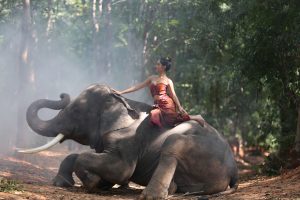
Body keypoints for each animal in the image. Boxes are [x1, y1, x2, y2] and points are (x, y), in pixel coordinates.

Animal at [19, 83, 239, 199]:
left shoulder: (129, 141)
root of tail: (233, 170)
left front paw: (94, 183)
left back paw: (150, 195)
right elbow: (80, 156)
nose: (62, 94)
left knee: (172, 144)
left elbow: (121, 169)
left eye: (75, 111)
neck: (122, 102)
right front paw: (63, 183)